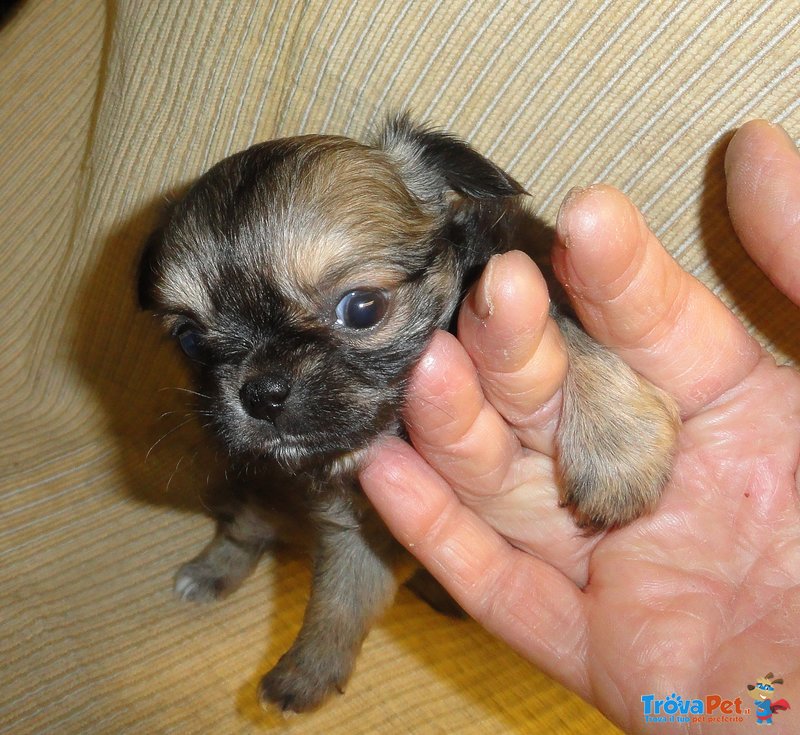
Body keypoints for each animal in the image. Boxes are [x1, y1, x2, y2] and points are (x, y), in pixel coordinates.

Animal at [138, 115, 676, 712]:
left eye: (362, 308)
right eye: (190, 341)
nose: (262, 392)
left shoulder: (524, 274)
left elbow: (568, 327)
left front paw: (616, 450)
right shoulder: (354, 520)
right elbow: (342, 596)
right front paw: (306, 669)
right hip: (254, 487)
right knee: (244, 527)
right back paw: (210, 571)